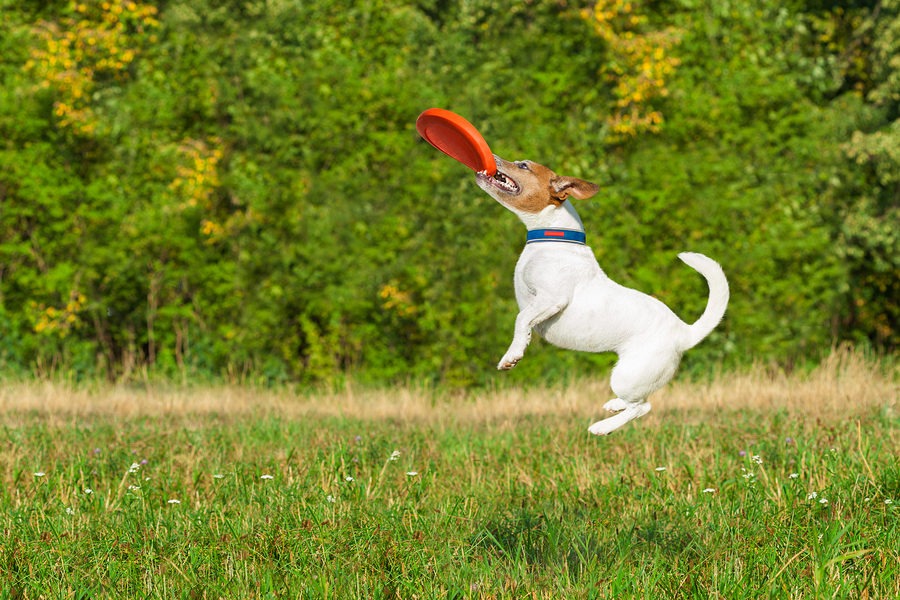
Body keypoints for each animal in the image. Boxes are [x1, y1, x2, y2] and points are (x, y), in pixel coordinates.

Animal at [474, 155, 728, 436]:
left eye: (524, 166)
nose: (495, 158)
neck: (552, 238)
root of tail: (685, 333)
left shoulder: (551, 300)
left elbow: (521, 320)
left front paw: (512, 355)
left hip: (628, 375)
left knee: (642, 407)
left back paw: (602, 427)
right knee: (639, 402)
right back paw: (614, 406)